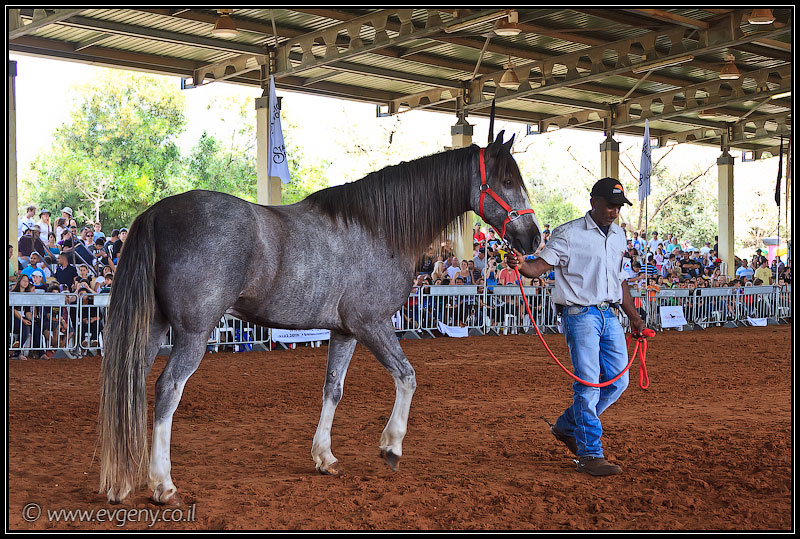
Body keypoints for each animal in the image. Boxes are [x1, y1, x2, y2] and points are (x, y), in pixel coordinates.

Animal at [98, 130, 541, 505]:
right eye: (505, 180)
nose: (534, 237)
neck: (377, 229)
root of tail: (155, 214)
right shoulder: (371, 323)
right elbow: (407, 376)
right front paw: (391, 446)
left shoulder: (344, 332)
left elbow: (333, 390)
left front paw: (324, 457)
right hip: (194, 332)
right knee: (168, 389)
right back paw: (162, 484)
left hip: (152, 328)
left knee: (129, 383)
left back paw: (120, 484)